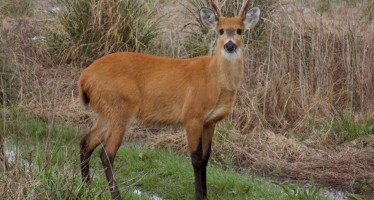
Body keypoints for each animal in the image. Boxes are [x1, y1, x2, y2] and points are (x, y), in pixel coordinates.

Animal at [79, 0, 260, 199]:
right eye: (220, 31)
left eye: (239, 30)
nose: (229, 45)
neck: (214, 80)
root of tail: (84, 77)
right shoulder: (192, 115)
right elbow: (196, 158)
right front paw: (198, 195)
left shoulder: (210, 121)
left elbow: (206, 157)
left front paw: (205, 194)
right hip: (120, 109)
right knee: (107, 154)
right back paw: (114, 195)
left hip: (106, 112)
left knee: (85, 143)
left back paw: (86, 188)